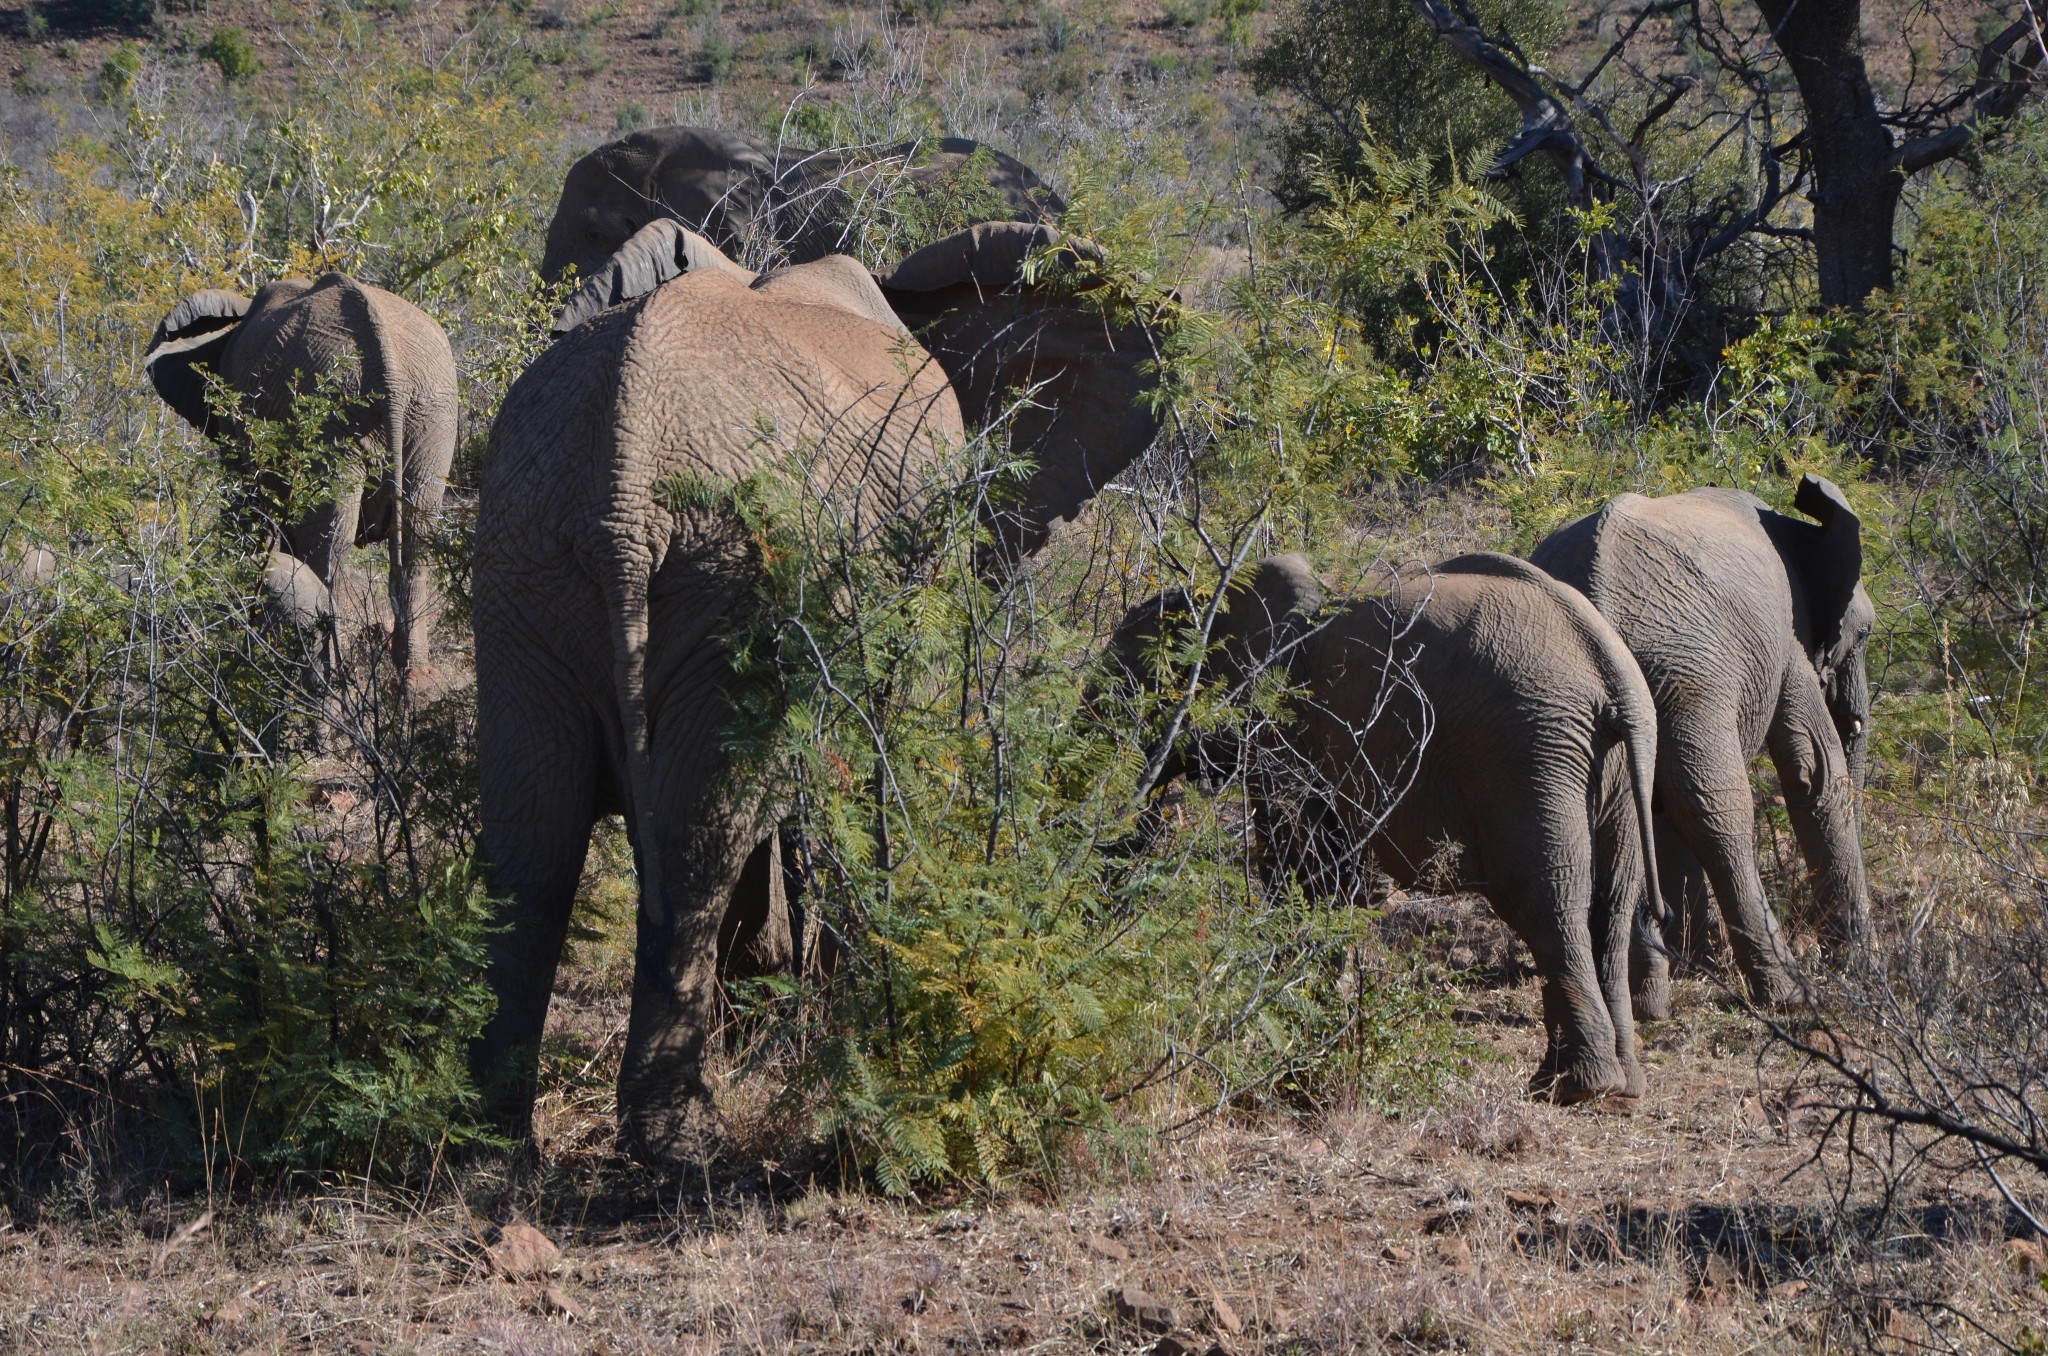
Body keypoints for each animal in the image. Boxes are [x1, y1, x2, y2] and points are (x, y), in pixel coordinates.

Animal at [145, 272, 460, 696]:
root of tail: (391, 375)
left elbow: (246, 510)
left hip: (332, 415)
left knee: (331, 548)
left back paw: (326, 681)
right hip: (432, 414)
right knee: (416, 535)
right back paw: (415, 682)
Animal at [468, 218, 1163, 1163]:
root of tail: (626, 480)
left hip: (530, 551)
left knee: (533, 840)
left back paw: (488, 1139)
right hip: (731, 561)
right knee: (692, 844)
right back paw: (682, 1139)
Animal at [1114, 553, 1671, 1106]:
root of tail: (1612, 672)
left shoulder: (1286, 717)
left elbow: (1301, 862)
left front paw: (1295, 1021)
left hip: (1528, 753)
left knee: (1545, 902)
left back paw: (1571, 1088)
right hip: (1612, 769)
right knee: (1611, 907)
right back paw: (1620, 1088)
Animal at [1540, 477, 1875, 1007]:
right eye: (1864, 634)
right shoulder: (1788, 638)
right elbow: (1816, 772)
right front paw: (1859, 966)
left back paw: (1652, 995)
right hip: (1690, 675)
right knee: (1717, 811)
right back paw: (1786, 993)